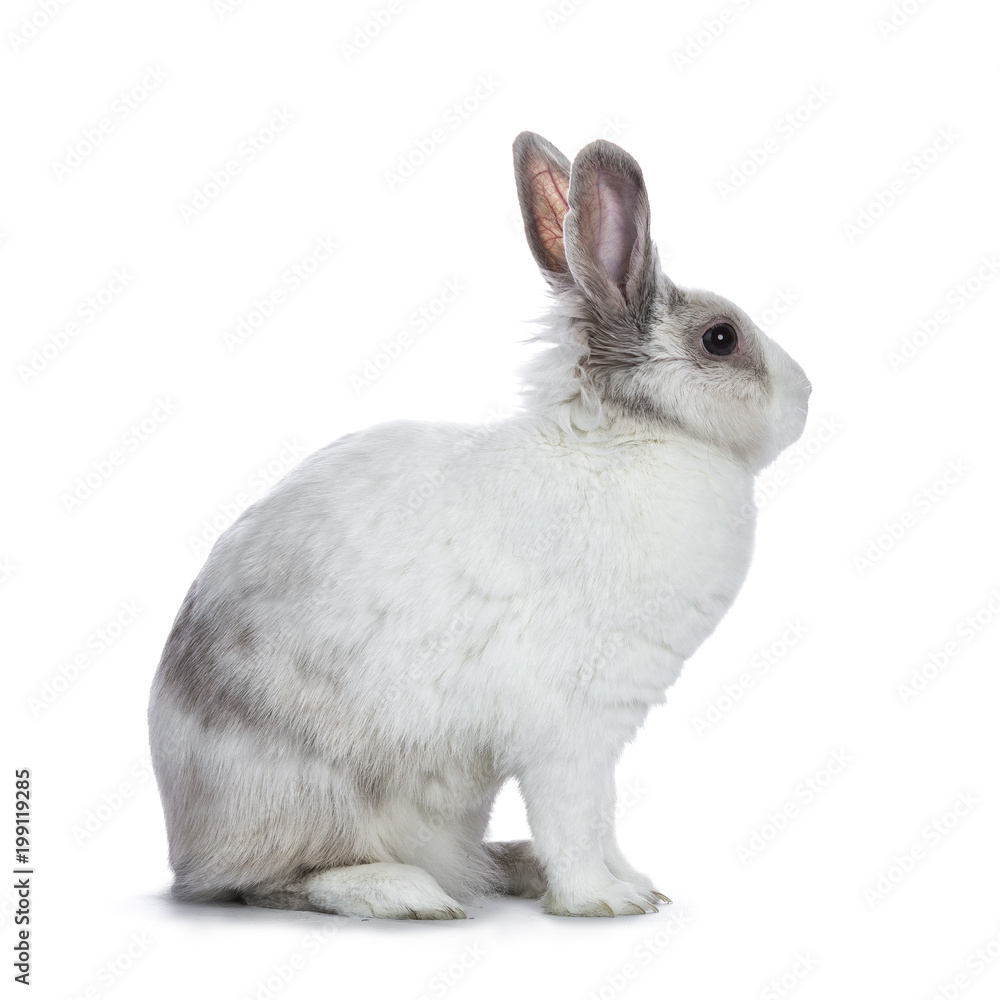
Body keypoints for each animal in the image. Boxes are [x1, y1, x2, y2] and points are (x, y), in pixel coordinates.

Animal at [148, 131, 811, 920]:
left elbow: (604, 824)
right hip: (308, 797)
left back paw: (508, 868)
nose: (807, 395)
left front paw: (638, 886)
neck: (633, 437)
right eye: (721, 338)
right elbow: (578, 819)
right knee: (276, 880)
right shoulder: (574, 730)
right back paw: (406, 894)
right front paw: (602, 901)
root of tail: (187, 844)